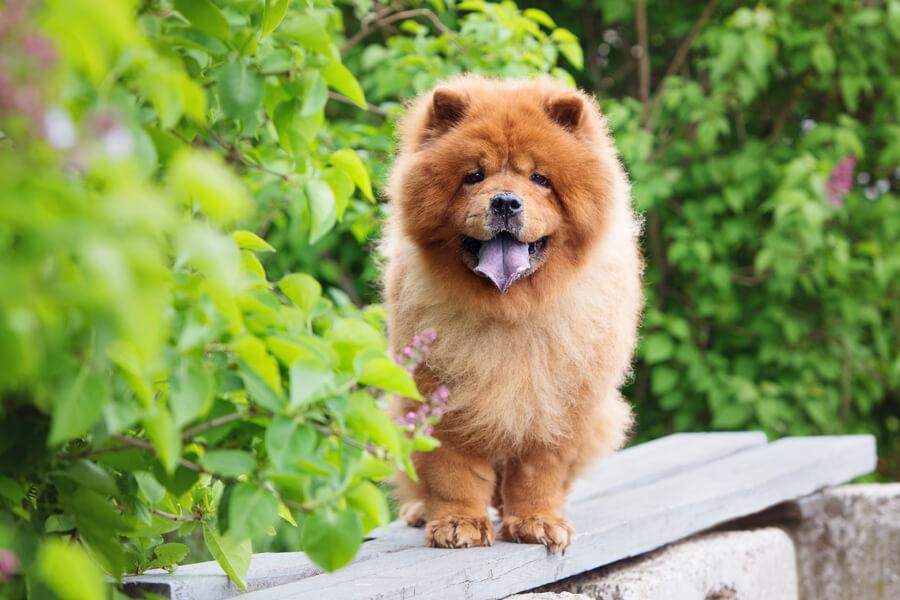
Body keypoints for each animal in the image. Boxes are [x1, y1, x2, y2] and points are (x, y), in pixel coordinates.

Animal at [380, 75, 640, 552]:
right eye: (473, 176)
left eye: (539, 178)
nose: (504, 201)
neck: (510, 312)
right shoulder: (441, 400)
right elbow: (452, 473)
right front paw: (457, 524)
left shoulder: (558, 408)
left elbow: (540, 474)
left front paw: (537, 522)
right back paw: (420, 511)